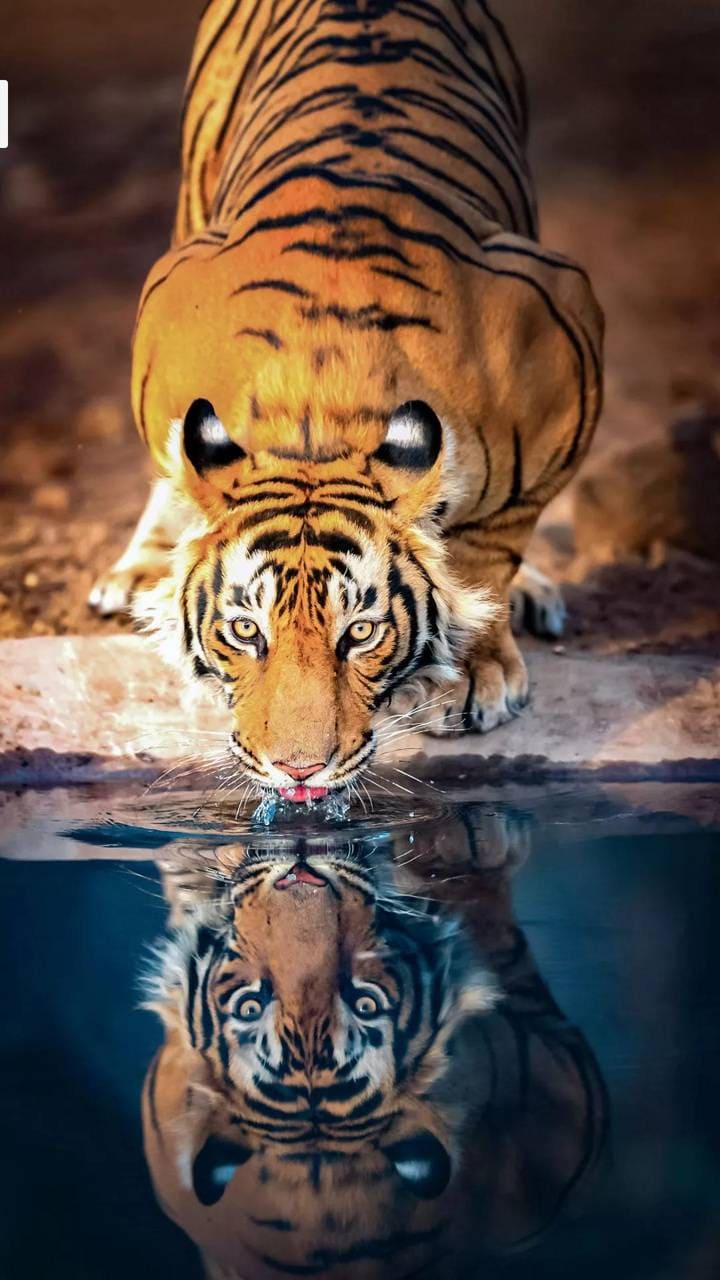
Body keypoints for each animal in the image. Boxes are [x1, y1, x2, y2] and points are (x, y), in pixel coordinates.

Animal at [89, 0, 599, 793]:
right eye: (246, 631)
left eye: (359, 633)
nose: (297, 771)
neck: (318, 416)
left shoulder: (565, 348)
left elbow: (487, 548)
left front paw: (470, 669)